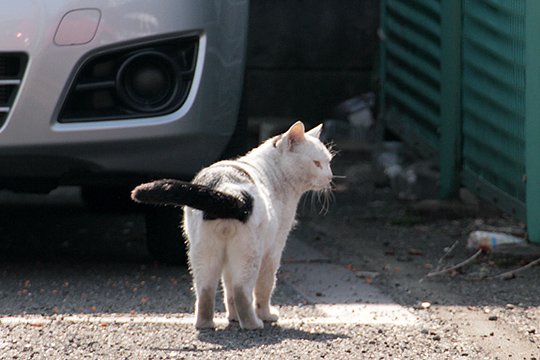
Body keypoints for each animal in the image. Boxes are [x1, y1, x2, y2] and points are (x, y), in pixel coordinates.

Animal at [132, 121, 334, 330]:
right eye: (317, 163)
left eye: (328, 161)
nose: (330, 177)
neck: (274, 172)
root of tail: (229, 191)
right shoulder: (273, 251)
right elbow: (264, 288)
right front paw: (266, 315)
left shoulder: (228, 261)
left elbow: (227, 290)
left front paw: (233, 317)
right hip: (249, 255)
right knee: (242, 291)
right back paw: (253, 323)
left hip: (203, 254)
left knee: (206, 291)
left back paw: (206, 324)